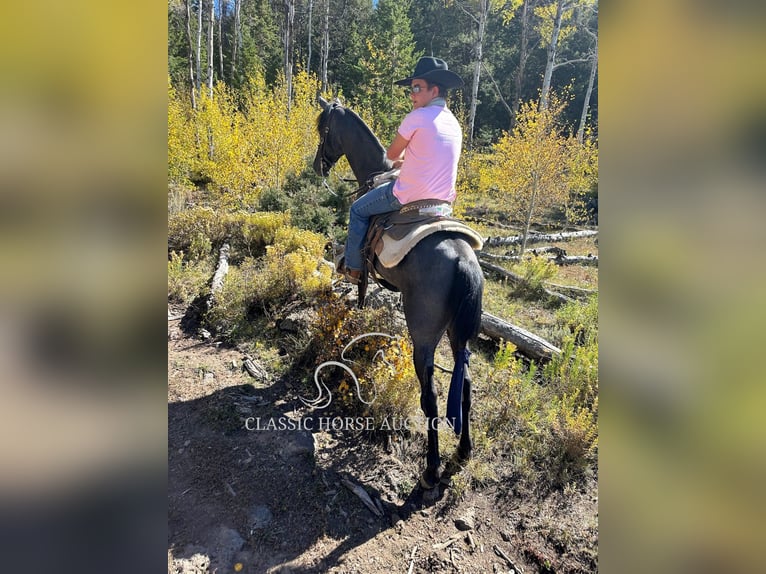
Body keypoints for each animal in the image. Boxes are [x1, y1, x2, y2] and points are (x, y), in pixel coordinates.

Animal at [314, 98, 486, 490]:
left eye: (323, 129)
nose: (317, 166)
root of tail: (461, 258)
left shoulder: (363, 263)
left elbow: (361, 291)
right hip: (460, 334)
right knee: (466, 385)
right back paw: (463, 451)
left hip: (425, 334)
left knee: (432, 396)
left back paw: (431, 469)